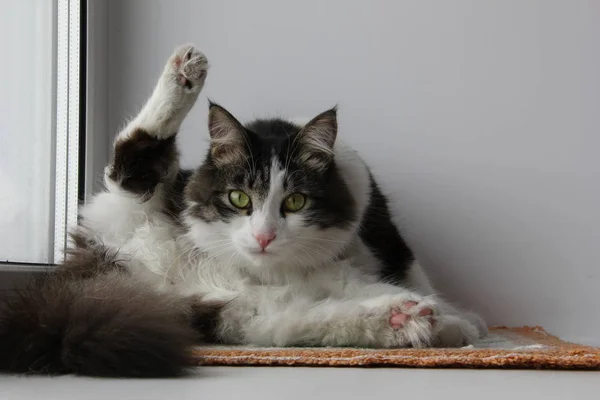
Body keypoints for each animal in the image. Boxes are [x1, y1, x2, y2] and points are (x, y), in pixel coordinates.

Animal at [0, 43, 486, 378]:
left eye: (295, 201)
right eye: (238, 199)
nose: (264, 236)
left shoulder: (375, 227)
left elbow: (411, 277)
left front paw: (459, 324)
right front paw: (455, 325)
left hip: (239, 312)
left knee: (312, 320)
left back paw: (406, 318)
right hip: (144, 214)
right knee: (131, 156)